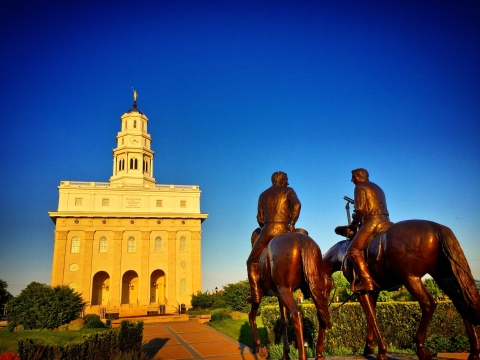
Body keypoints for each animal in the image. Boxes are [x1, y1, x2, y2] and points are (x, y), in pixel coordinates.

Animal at [249, 229, 332, 358]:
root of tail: (301, 239)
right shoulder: (278, 296)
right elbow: (284, 321)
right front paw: (285, 354)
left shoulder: (263, 294)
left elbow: (251, 316)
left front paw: (258, 346)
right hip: (314, 288)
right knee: (322, 314)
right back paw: (319, 354)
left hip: (285, 290)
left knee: (296, 314)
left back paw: (303, 356)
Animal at [322, 219, 480, 360]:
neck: (342, 254)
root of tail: (434, 226)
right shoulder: (373, 291)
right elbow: (371, 315)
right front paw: (369, 348)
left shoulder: (361, 290)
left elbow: (370, 316)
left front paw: (381, 351)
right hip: (443, 276)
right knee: (462, 304)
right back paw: (474, 353)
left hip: (411, 278)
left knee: (429, 303)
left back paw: (421, 348)